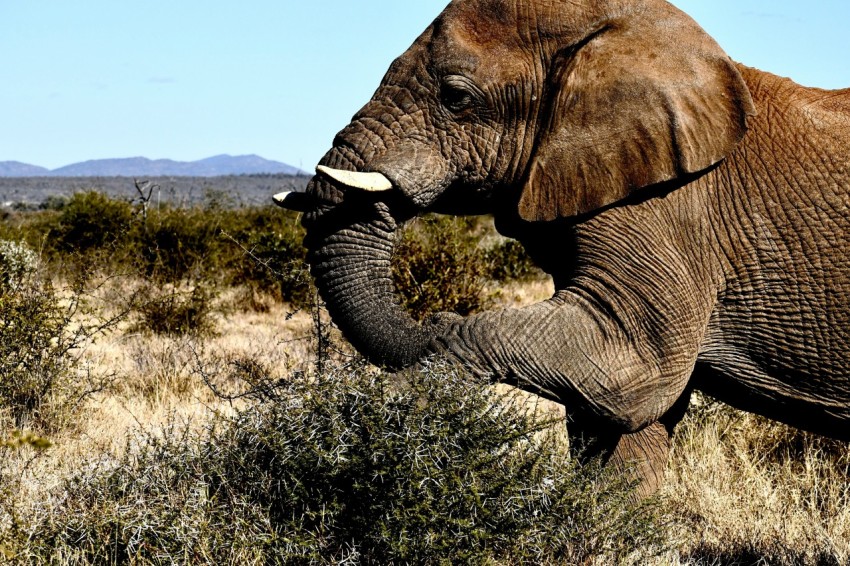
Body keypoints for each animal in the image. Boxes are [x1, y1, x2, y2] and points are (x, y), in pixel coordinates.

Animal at [274, 0, 848, 496]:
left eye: (456, 96)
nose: (434, 316)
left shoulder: (672, 207)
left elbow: (637, 367)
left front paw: (391, 406)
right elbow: (625, 412)